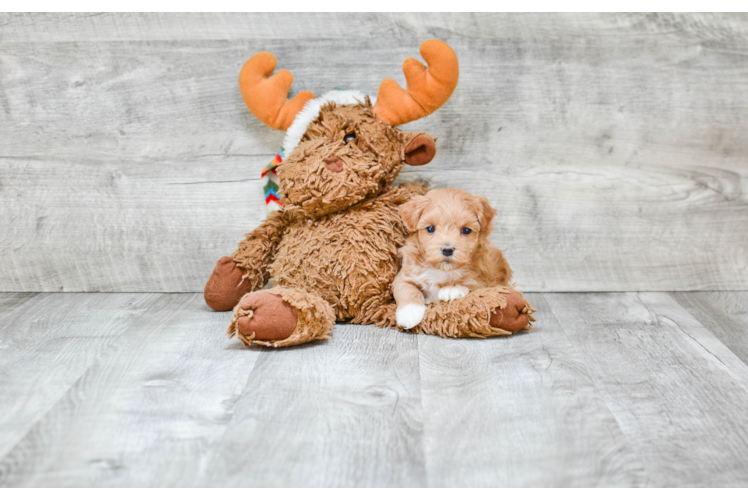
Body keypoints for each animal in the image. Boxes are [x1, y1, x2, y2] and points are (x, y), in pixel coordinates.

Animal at [392, 188, 516, 328]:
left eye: (466, 230)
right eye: (430, 228)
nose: (447, 250)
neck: (442, 270)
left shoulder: (486, 280)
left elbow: (472, 284)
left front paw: (452, 288)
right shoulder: (404, 276)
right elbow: (408, 290)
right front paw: (409, 312)